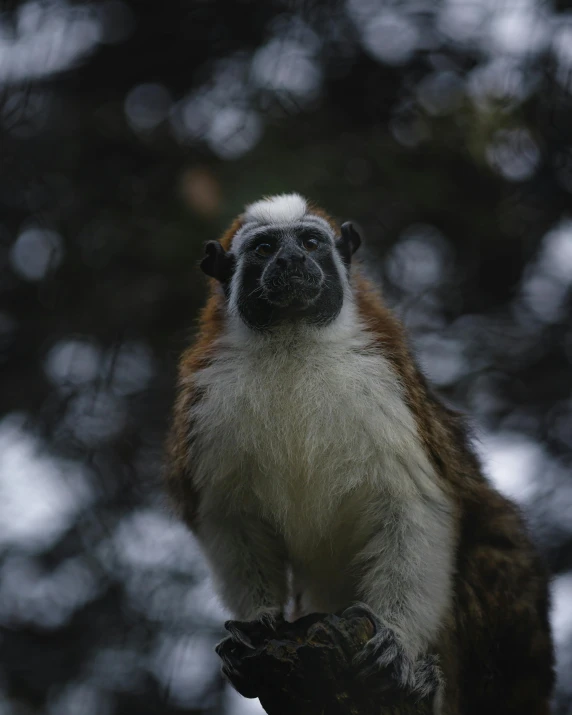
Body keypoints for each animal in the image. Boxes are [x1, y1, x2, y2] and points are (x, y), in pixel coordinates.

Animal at [165, 193, 556, 712]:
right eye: (266, 249)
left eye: (310, 242)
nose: (293, 260)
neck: (292, 343)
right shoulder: (207, 408)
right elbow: (231, 518)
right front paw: (258, 621)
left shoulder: (386, 389)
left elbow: (415, 507)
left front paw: (396, 642)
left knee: (496, 546)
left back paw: (432, 684)